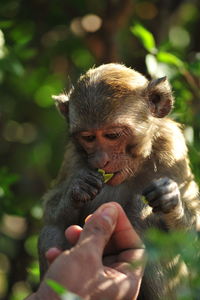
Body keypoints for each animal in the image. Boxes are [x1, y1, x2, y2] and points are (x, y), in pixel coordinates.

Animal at [38, 62, 200, 298]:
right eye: (88, 138)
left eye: (112, 135)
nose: (100, 160)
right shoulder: (73, 156)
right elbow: (50, 209)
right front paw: (77, 189)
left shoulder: (172, 147)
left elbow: (193, 246)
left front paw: (170, 199)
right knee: (52, 228)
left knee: (141, 211)